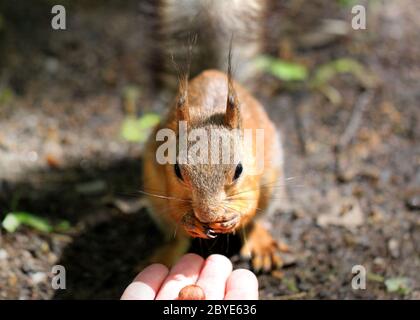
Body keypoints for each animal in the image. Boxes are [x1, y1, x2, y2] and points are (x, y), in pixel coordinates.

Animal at [141, 0, 286, 272]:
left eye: (239, 170)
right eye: (177, 170)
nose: (207, 215)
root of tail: (211, 71)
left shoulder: (252, 176)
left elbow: (249, 205)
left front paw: (233, 218)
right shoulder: (167, 182)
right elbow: (176, 210)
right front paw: (191, 221)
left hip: (271, 182)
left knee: (257, 219)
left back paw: (261, 243)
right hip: (154, 196)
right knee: (175, 235)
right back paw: (164, 256)